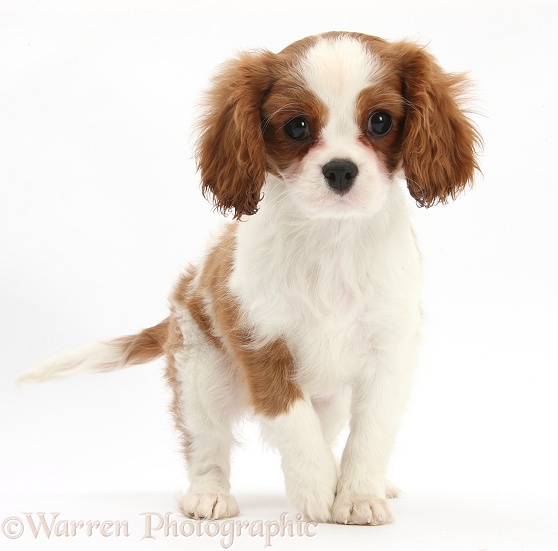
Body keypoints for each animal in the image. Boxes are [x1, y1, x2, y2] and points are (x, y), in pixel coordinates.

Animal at [19, 31, 480, 528]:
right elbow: (293, 422)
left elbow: (370, 432)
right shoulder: (258, 341)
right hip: (200, 373)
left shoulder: (389, 351)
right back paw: (208, 494)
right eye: (296, 126)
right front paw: (317, 490)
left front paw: (357, 495)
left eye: (380, 121)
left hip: (329, 399)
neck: (331, 237)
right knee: (206, 444)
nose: (340, 169)